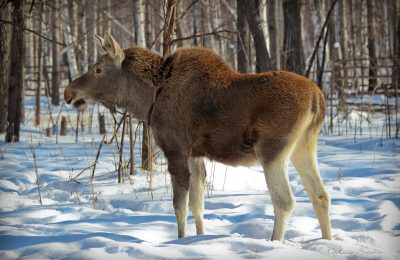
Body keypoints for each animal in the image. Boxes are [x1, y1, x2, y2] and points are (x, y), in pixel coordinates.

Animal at [65, 32, 332, 242]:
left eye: (98, 69)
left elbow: (179, 206)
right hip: (303, 148)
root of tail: (318, 98)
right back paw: (327, 240)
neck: (148, 99)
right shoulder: (195, 155)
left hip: (272, 150)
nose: (69, 92)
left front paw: (180, 240)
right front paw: (199, 238)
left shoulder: (175, 151)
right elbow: (197, 203)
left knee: (285, 201)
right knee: (320, 195)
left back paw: (275, 243)